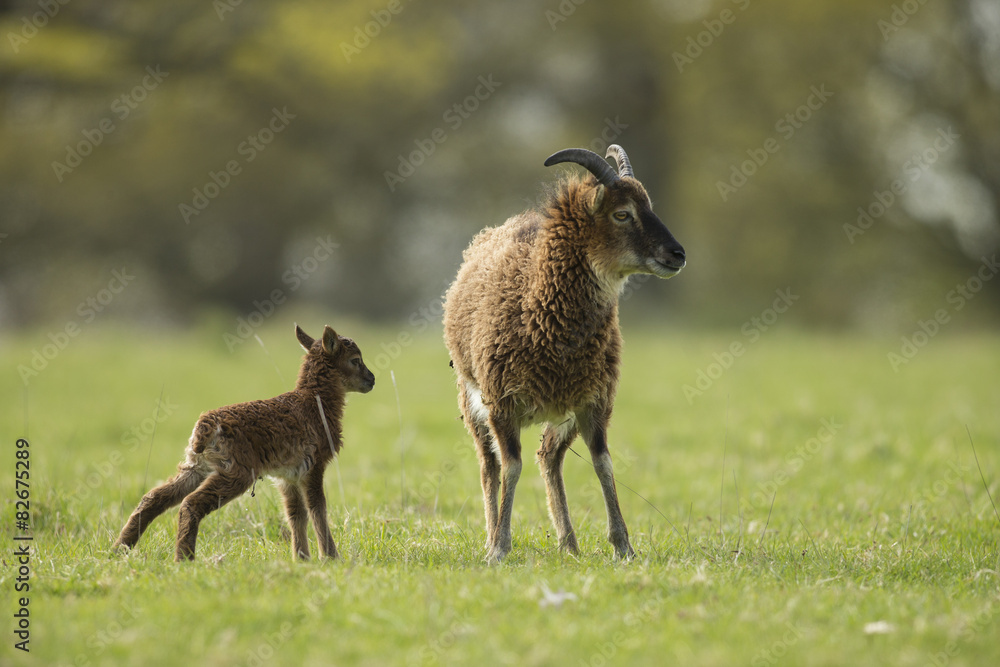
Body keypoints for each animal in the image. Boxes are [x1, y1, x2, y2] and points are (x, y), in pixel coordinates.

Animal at [113, 326, 372, 560]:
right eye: (355, 360)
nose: (372, 379)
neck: (315, 402)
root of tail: (206, 425)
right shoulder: (314, 465)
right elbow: (318, 509)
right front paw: (331, 557)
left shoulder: (288, 475)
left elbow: (296, 514)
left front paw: (302, 558)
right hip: (236, 471)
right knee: (190, 503)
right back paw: (184, 559)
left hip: (197, 465)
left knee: (154, 497)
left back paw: (119, 549)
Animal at [446, 145, 688, 564]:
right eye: (622, 213)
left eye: (648, 205)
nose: (677, 254)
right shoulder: (502, 404)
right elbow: (511, 467)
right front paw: (500, 549)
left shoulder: (595, 402)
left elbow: (603, 463)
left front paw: (623, 546)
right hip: (473, 401)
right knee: (489, 465)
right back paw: (493, 535)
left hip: (564, 413)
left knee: (548, 457)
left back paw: (569, 544)